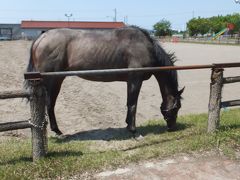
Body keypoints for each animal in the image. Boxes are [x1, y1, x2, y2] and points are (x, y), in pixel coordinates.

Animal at [24, 26, 184, 135]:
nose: (172, 127)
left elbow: (129, 102)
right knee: (49, 104)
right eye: (177, 107)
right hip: (52, 80)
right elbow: (133, 103)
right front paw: (132, 129)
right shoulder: (135, 79)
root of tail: (42, 37)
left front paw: (127, 125)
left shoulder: (130, 81)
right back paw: (56, 130)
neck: (145, 46)